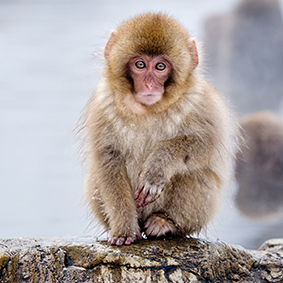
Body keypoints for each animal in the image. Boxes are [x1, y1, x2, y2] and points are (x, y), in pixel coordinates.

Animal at [82, 13, 237, 246]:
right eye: (140, 64)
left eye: (160, 67)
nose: (148, 85)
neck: (149, 109)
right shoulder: (103, 104)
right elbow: (108, 160)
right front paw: (124, 227)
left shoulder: (201, 101)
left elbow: (209, 145)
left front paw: (157, 166)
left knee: (196, 172)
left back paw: (165, 223)